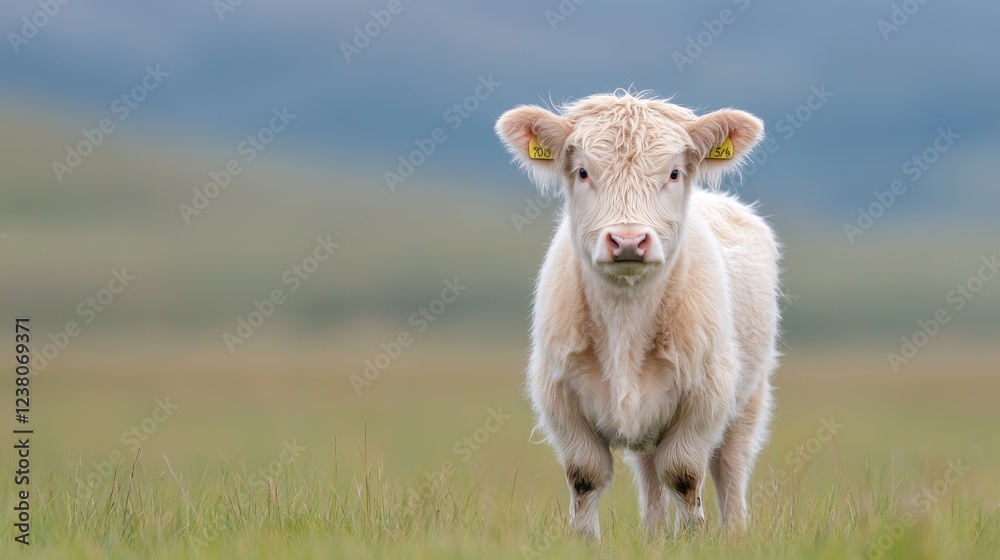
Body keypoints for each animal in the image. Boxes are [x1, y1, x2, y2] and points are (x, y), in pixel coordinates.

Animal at [495, 91, 781, 538]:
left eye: (675, 172)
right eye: (582, 171)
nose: (628, 240)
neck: (625, 323)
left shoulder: (706, 396)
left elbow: (684, 474)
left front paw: (693, 540)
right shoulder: (559, 395)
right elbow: (585, 475)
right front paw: (584, 542)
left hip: (750, 396)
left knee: (729, 467)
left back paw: (733, 534)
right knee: (649, 475)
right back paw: (654, 535)